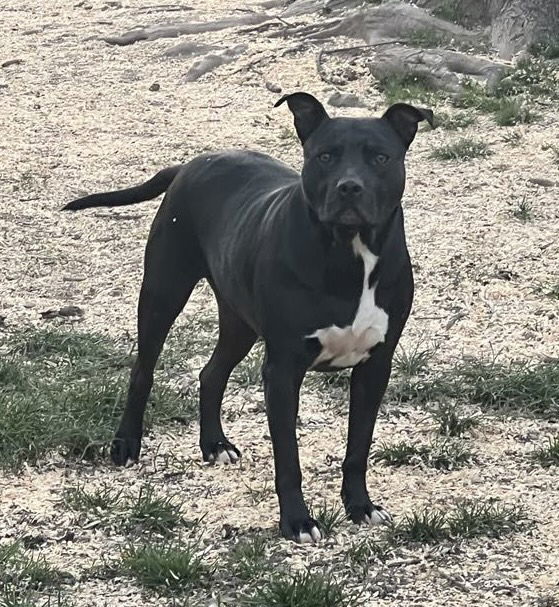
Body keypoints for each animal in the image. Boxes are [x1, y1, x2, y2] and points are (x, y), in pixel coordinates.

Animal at [63, 95, 436, 548]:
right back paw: (126, 445)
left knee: (211, 373)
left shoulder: (375, 367)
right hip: (162, 294)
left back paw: (214, 444)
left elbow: (358, 447)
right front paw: (297, 521)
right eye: (325, 156)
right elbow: (289, 459)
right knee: (143, 372)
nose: (349, 187)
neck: (351, 254)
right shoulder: (283, 370)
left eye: (381, 157)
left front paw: (360, 506)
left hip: (238, 321)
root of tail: (190, 164)